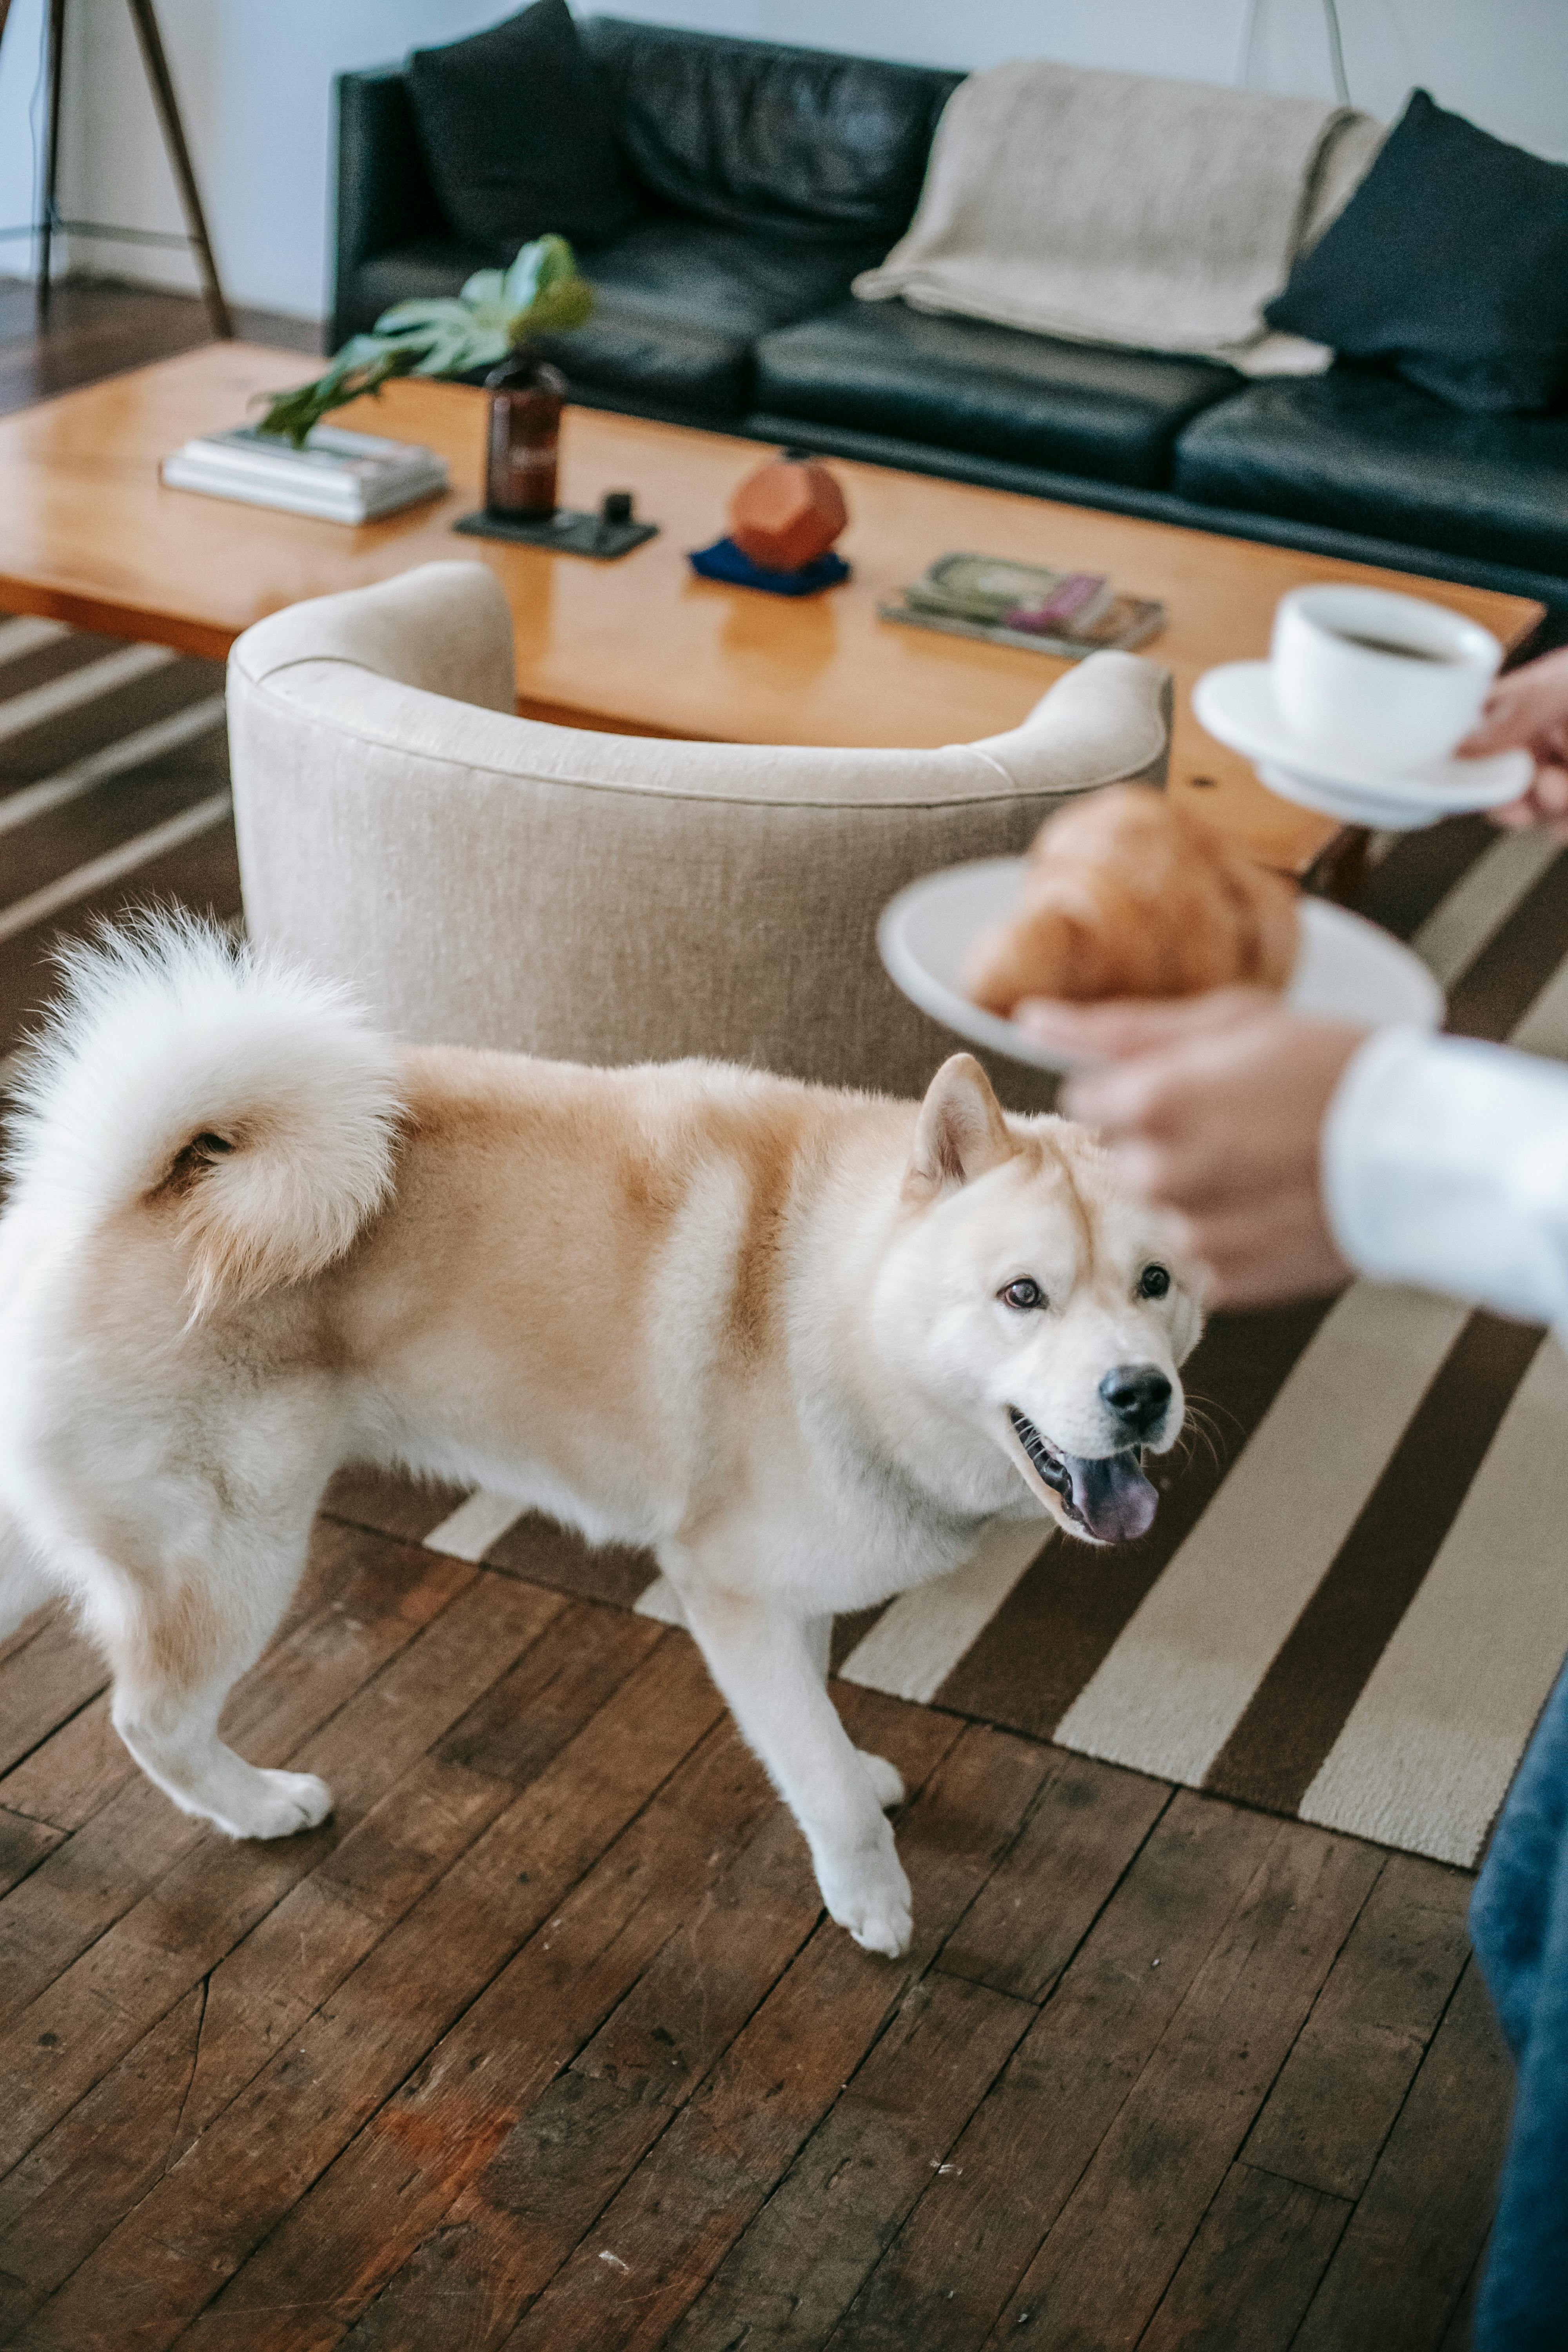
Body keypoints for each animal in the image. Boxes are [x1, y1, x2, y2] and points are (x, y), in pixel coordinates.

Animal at [0, 917, 1203, 1947]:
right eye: (1022, 1296)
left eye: (1155, 1284)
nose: (1141, 1393)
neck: (837, 1305)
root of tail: (108, 1200)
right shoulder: (727, 1591)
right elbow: (814, 1767)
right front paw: (869, 1892)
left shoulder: (788, 1586)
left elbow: (814, 1712)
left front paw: (854, 1773)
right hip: (232, 1555)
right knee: (153, 1722)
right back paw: (259, 1806)